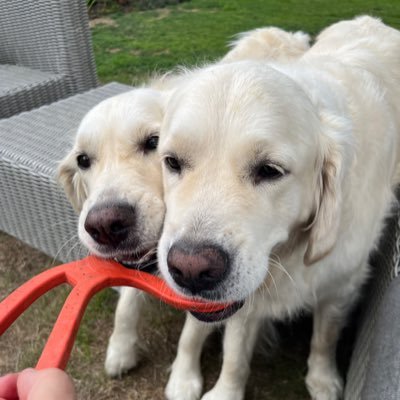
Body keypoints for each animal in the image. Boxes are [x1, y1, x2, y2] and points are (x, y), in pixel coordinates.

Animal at [158, 15, 400, 400]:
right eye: (172, 161)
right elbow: (235, 352)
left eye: (270, 170)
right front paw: (226, 391)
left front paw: (323, 379)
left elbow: (325, 336)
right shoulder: (245, 298)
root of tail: (370, 20)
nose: (191, 269)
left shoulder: (342, 283)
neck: (289, 252)